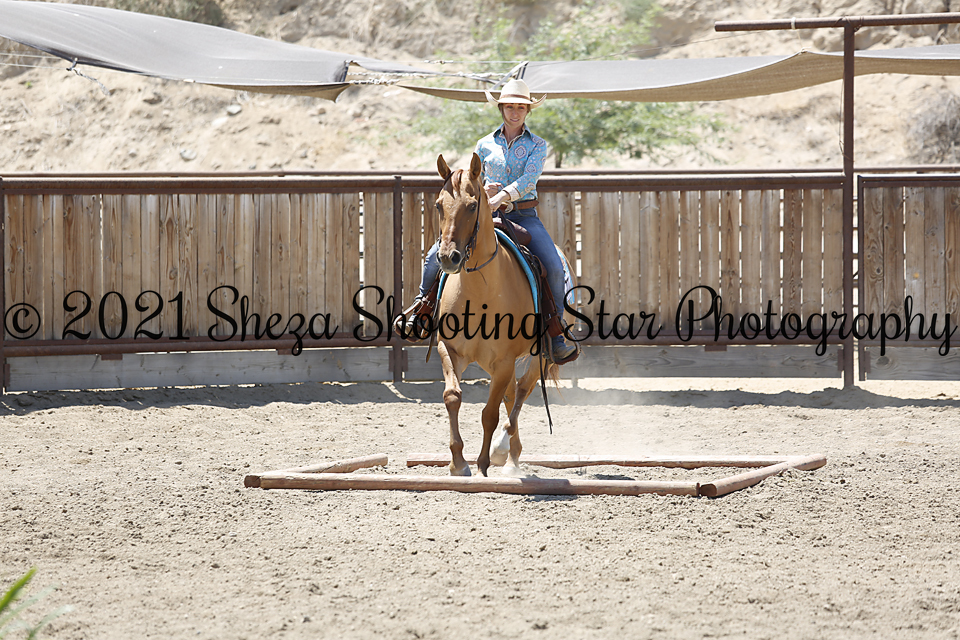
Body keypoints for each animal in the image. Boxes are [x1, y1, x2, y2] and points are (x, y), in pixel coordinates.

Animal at [433, 152, 562, 478]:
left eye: (472, 205)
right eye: (439, 204)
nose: (448, 257)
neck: (481, 293)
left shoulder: (504, 361)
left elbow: (489, 414)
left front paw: (482, 463)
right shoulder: (449, 349)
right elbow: (453, 396)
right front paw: (457, 463)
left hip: (537, 357)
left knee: (521, 393)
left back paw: (504, 451)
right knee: (512, 395)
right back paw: (512, 457)